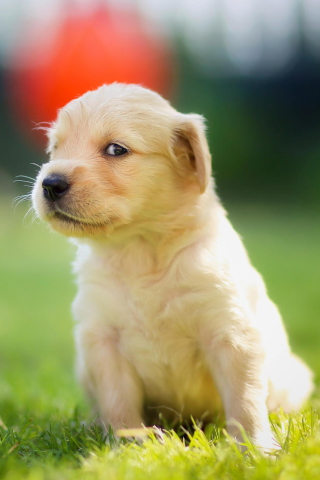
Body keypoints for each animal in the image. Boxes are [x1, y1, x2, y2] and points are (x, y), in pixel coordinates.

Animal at [31, 83, 312, 450]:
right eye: (55, 148)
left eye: (116, 149)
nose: (50, 184)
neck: (141, 252)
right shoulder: (102, 338)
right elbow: (117, 401)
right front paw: (130, 444)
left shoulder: (231, 334)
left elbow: (245, 401)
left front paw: (255, 448)